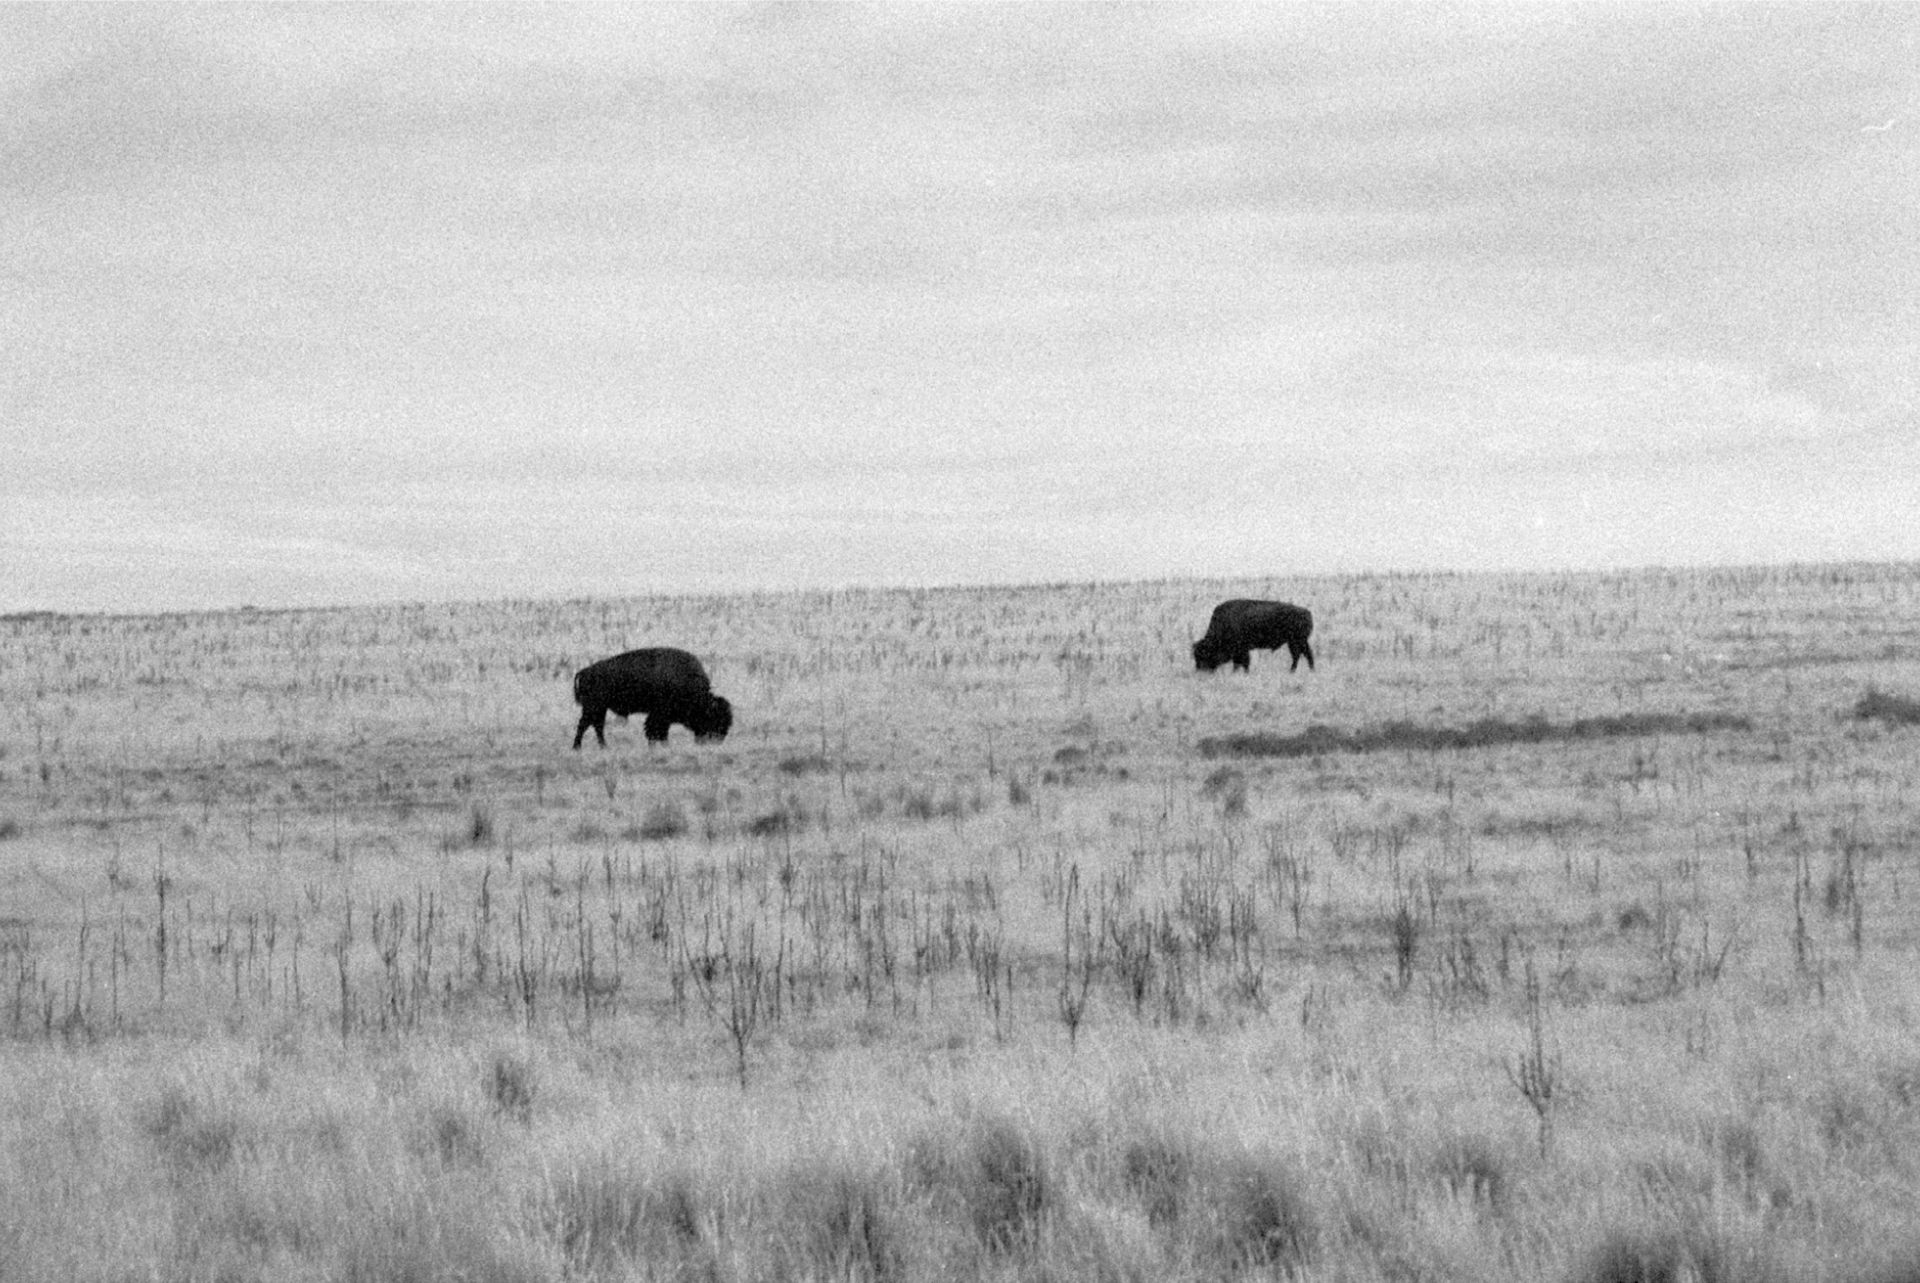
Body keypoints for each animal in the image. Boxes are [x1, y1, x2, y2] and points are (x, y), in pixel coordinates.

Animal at [568, 645, 733, 745]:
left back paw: (602, 747)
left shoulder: (660, 716)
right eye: (715, 717)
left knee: (596, 726)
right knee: (585, 725)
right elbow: (656, 732)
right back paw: (578, 747)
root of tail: (586, 671)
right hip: (594, 707)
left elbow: (657, 732)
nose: (719, 739)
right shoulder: (660, 715)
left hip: (599, 708)